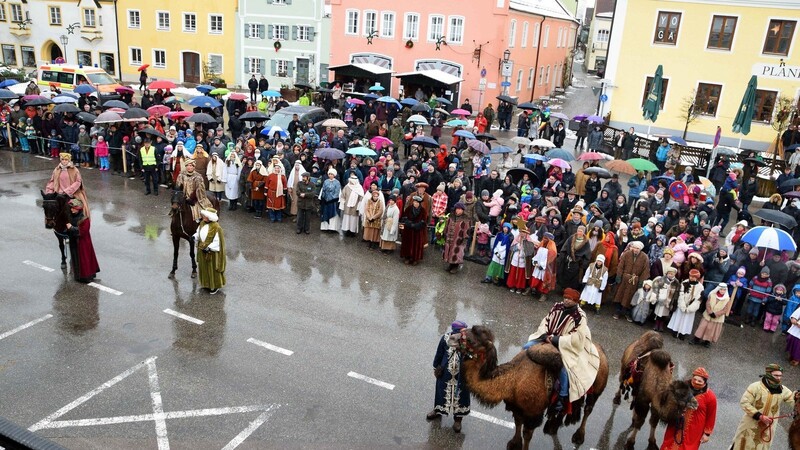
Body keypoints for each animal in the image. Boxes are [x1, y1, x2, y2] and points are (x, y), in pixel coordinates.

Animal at [454, 326, 608, 450]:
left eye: (471, 340)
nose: (451, 337)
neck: (514, 380)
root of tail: (600, 349)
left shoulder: (533, 412)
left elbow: (527, 434)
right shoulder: (516, 406)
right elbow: (517, 422)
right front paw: (514, 444)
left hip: (598, 387)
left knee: (588, 408)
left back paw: (579, 436)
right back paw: (553, 428)